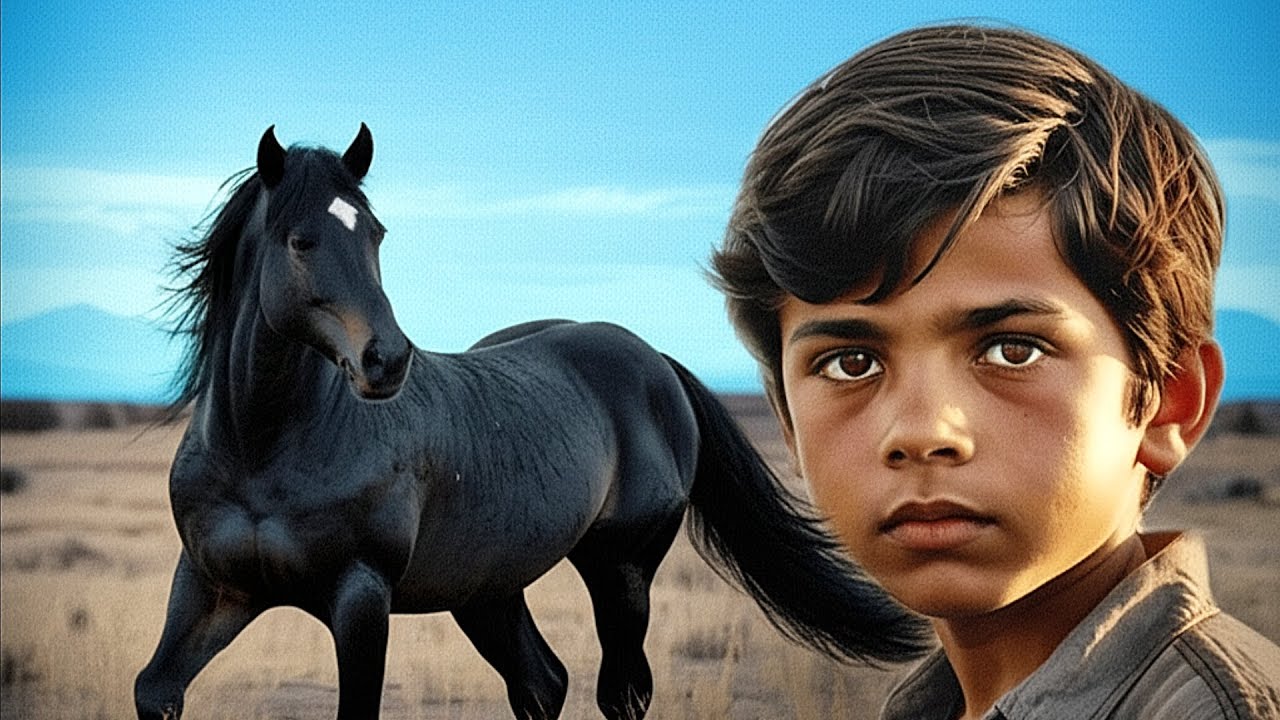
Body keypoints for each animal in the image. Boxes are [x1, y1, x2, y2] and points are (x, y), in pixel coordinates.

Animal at [134, 124, 929, 719]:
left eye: (377, 235)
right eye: (300, 240)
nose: (387, 360)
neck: (264, 447)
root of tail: (651, 359)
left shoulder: (360, 599)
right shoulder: (210, 586)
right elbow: (155, 689)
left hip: (621, 573)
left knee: (621, 694)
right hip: (487, 591)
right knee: (542, 685)